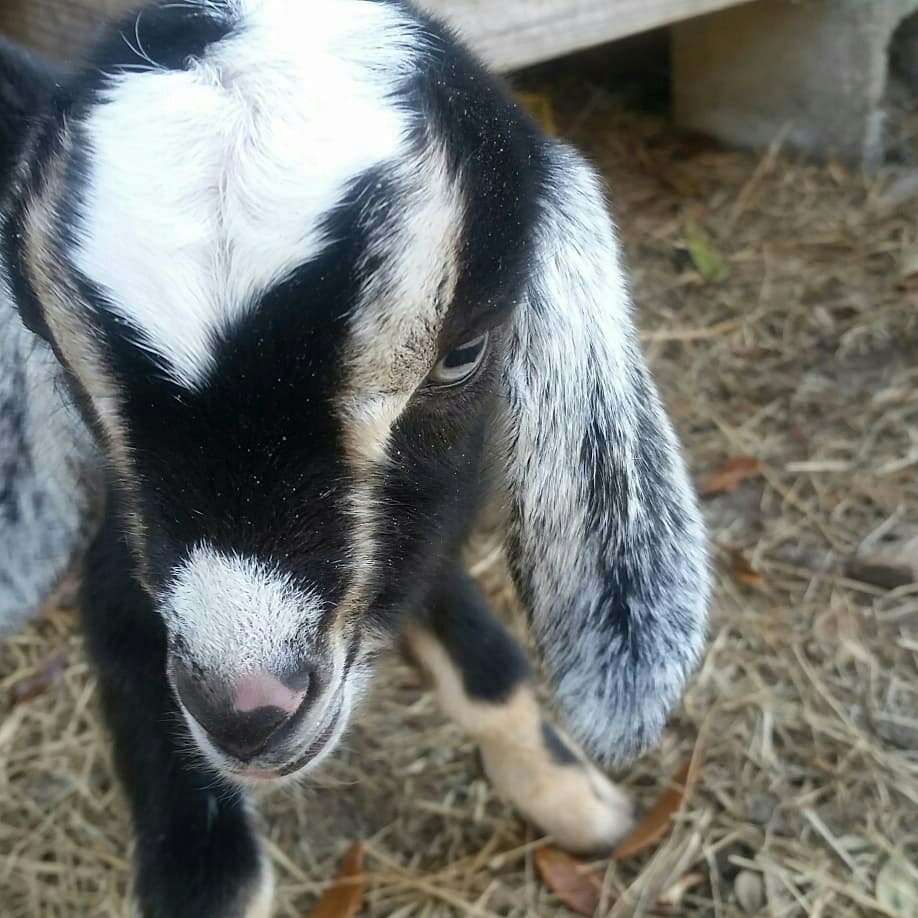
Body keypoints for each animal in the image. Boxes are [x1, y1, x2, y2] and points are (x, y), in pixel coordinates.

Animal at [0, 1, 709, 914]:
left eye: (464, 353)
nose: (249, 709)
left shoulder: (425, 528)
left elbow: (484, 663)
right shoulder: (125, 580)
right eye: (68, 370)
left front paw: (577, 801)